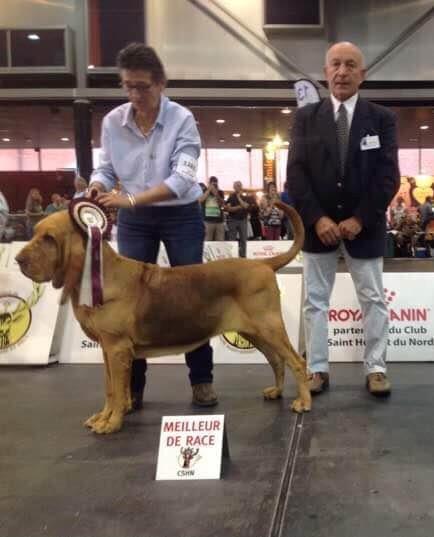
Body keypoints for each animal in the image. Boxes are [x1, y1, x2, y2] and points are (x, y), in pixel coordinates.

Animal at [15, 201, 311, 434]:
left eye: (48, 238)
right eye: (35, 233)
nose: (18, 259)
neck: (98, 275)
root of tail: (263, 263)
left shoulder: (117, 348)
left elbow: (118, 391)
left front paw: (111, 423)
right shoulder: (107, 350)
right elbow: (110, 388)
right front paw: (102, 417)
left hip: (269, 327)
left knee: (297, 362)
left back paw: (304, 402)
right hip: (254, 332)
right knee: (277, 361)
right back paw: (276, 392)